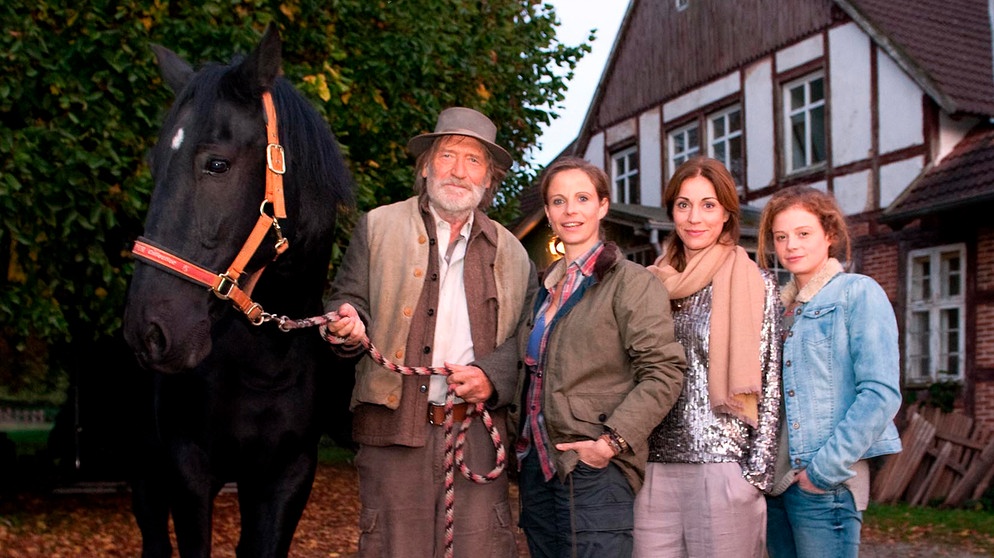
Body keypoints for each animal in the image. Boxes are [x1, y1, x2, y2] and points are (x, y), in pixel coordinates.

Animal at [121, 24, 352, 556]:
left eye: (217, 164)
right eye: (154, 165)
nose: (150, 331)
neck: (264, 362)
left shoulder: (286, 477)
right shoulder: (188, 469)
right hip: (145, 473)